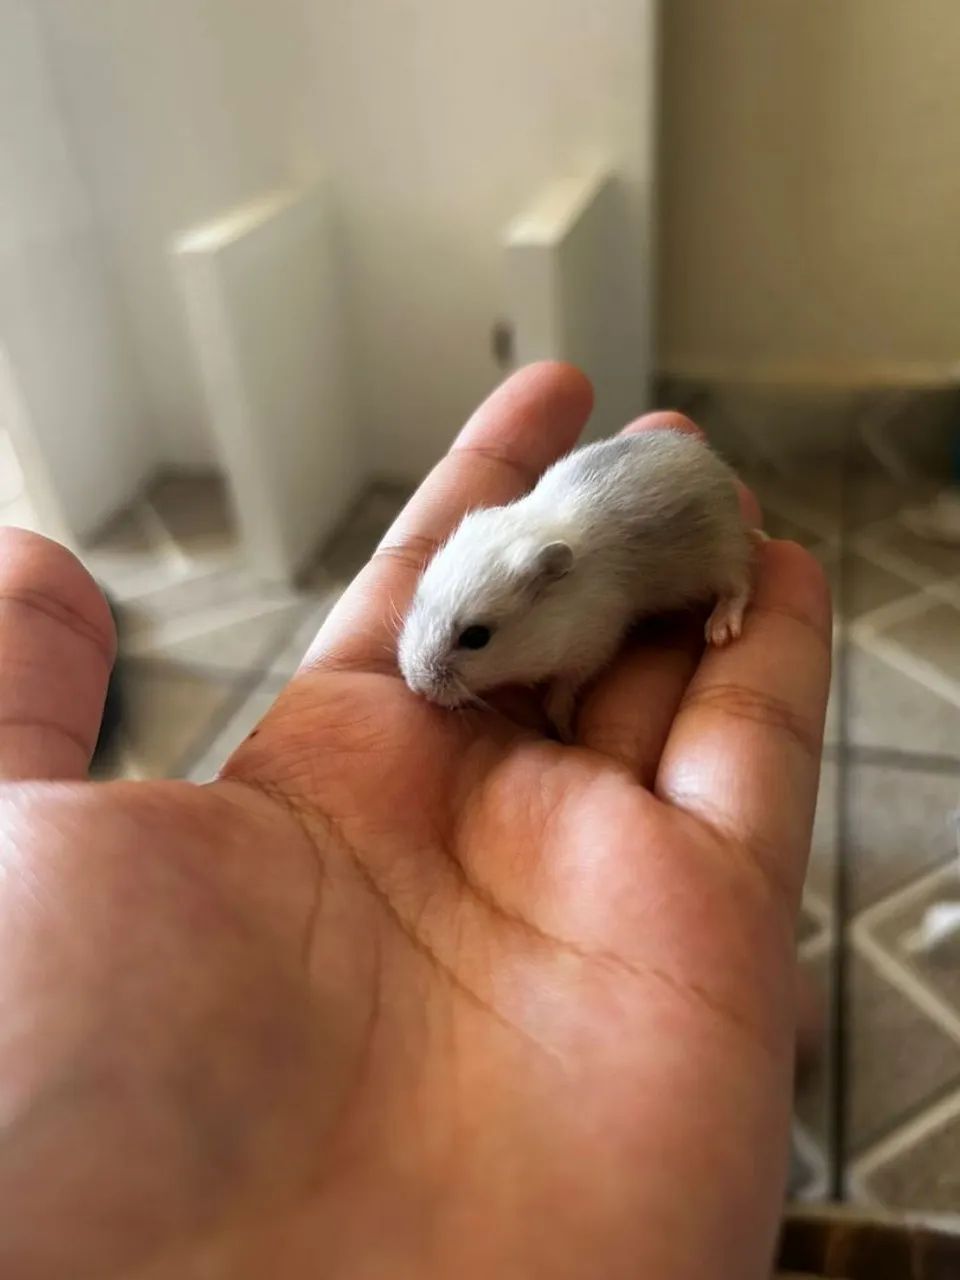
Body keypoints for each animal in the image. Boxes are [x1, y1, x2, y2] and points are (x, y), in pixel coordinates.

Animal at [397, 430, 757, 739]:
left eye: (476, 637)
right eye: (418, 599)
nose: (417, 687)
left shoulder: (594, 643)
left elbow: (563, 690)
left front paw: (564, 730)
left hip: (722, 553)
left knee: (741, 584)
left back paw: (721, 629)